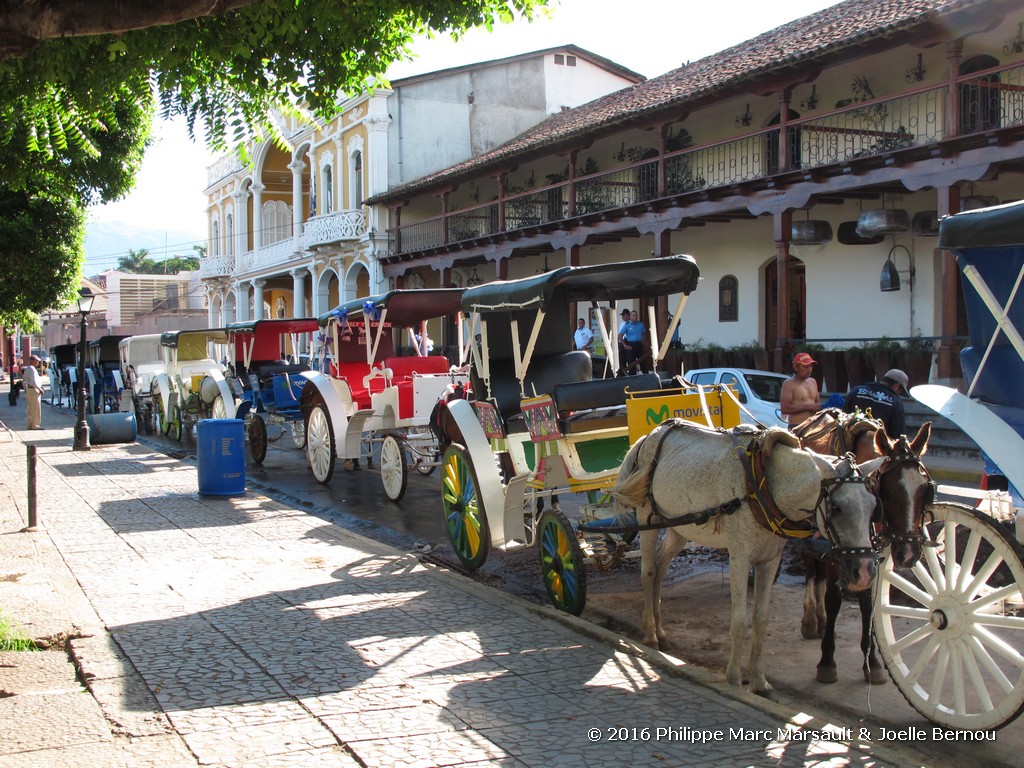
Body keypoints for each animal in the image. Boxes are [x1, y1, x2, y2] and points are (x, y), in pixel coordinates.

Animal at [606, 421, 880, 696]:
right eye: (836, 507)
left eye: (873, 506)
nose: (865, 571)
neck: (763, 486)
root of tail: (649, 435)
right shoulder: (739, 557)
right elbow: (739, 621)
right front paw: (735, 677)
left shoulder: (770, 560)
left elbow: (761, 620)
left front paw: (759, 680)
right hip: (647, 519)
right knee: (649, 572)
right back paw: (650, 634)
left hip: (679, 527)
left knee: (661, 568)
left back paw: (661, 633)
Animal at [786, 409, 933, 684]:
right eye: (888, 489)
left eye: (924, 489)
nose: (908, 554)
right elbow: (834, 597)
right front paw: (827, 661)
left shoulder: (865, 551)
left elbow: (867, 601)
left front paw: (872, 662)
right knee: (811, 565)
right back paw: (811, 618)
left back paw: (820, 619)